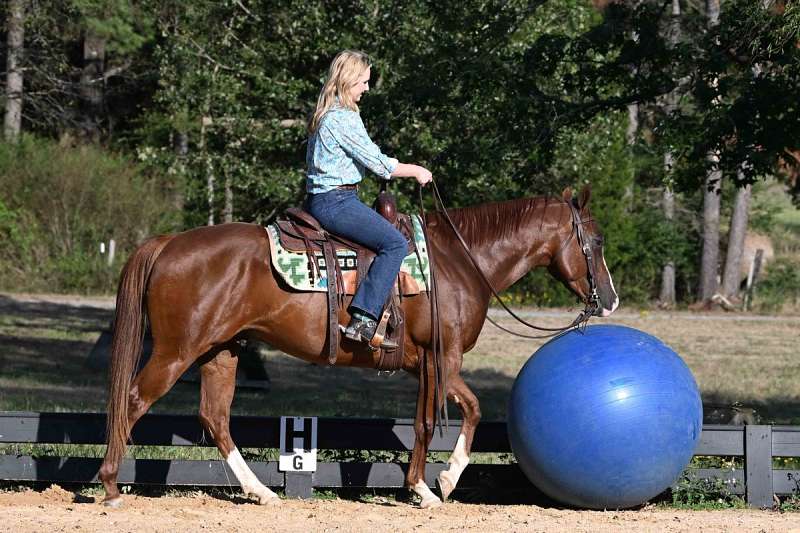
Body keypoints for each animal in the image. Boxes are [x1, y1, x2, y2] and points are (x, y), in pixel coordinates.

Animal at [98, 185, 619, 509]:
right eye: (595, 239)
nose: (610, 300)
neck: (459, 261)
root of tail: (168, 243)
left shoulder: (425, 366)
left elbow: (425, 423)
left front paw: (419, 486)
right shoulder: (445, 361)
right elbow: (467, 411)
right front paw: (441, 483)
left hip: (220, 352)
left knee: (215, 418)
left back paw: (260, 492)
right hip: (175, 352)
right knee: (131, 401)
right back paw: (110, 485)